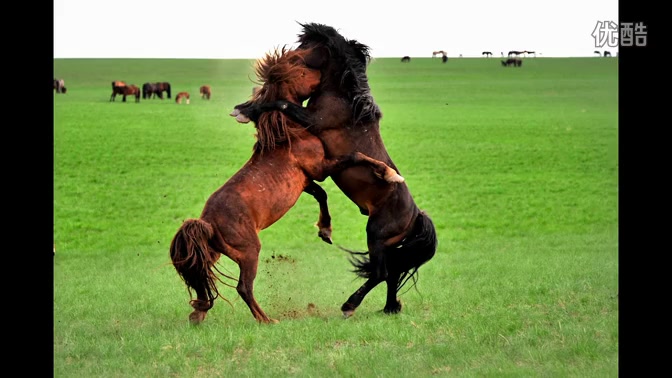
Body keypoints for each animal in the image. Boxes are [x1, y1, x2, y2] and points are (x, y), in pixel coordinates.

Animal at [171, 45, 406, 324]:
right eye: (302, 71)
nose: (323, 78)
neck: (289, 135)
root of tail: (207, 221)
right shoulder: (321, 168)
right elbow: (355, 157)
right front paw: (389, 174)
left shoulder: (306, 180)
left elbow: (322, 195)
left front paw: (325, 231)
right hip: (249, 252)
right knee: (243, 287)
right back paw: (266, 320)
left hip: (216, 251)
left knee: (202, 278)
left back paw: (199, 312)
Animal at [234, 22, 438, 318]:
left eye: (307, 47)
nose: (285, 60)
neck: (343, 98)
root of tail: (415, 215)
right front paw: (244, 108)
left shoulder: (313, 120)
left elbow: (283, 104)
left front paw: (244, 112)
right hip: (388, 244)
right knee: (392, 272)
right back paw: (389, 307)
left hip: (376, 234)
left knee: (380, 273)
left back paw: (349, 306)